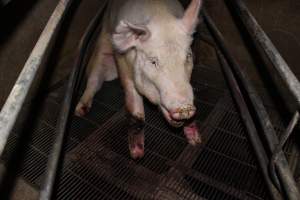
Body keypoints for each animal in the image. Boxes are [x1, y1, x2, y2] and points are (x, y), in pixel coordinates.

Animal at [75, 0, 202, 159]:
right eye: (153, 61)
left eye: (188, 57)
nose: (185, 107)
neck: (160, 15)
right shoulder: (123, 64)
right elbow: (135, 111)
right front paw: (136, 154)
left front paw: (196, 141)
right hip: (101, 49)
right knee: (93, 81)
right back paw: (79, 111)